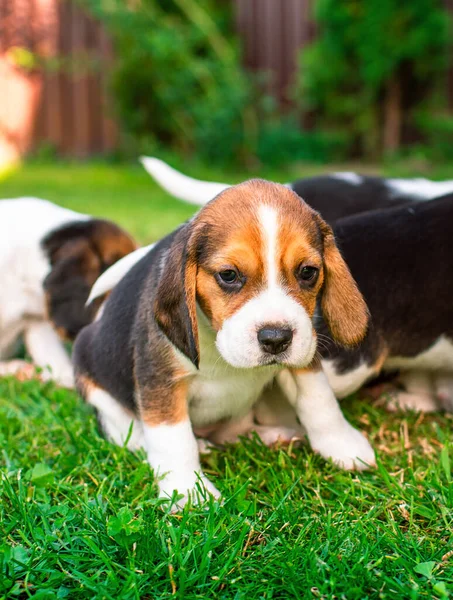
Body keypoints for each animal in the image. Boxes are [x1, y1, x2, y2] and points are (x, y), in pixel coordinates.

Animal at [73, 179, 374, 506]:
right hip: (92, 377)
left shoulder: (305, 347)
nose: (276, 339)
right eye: (228, 275)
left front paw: (342, 444)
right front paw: (188, 492)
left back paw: (269, 436)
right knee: (127, 432)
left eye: (308, 272)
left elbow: (319, 398)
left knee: (233, 432)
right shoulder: (160, 379)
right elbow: (173, 437)